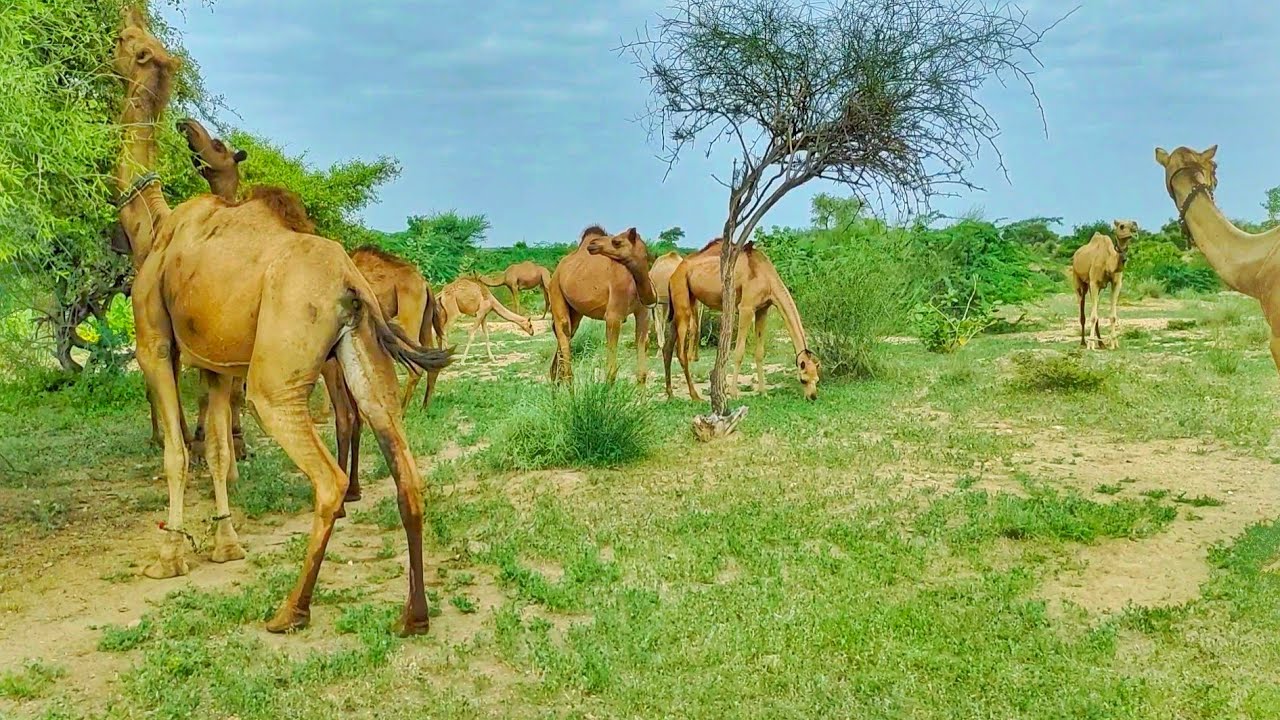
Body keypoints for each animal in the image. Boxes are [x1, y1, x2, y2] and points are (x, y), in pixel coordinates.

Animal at [114, 7, 449, 635]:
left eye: (131, 44)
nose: (188, 126)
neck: (155, 228)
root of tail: (349, 282)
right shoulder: (217, 362)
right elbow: (218, 452)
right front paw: (225, 543)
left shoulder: (155, 341)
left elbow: (177, 451)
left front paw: (169, 555)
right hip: (360, 354)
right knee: (406, 469)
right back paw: (412, 616)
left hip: (278, 378)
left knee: (328, 480)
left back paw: (290, 609)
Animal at [546, 226, 657, 384]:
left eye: (616, 242)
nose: (593, 244)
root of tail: (557, 271)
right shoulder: (613, 317)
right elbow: (611, 371)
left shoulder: (643, 314)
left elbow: (642, 372)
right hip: (555, 290)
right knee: (563, 330)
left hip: (575, 311)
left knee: (567, 335)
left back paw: (556, 385)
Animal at [663, 239, 820, 401]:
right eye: (803, 379)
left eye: (817, 379)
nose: (813, 397)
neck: (767, 277)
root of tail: (674, 273)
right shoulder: (746, 308)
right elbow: (739, 352)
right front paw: (733, 394)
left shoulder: (762, 309)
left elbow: (759, 352)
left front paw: (763, 392)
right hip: (682, 297)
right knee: (680, 352)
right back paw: (695, 396)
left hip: (685, 301)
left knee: (667, 348)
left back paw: (671, 394)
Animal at [1070, 220, 1138, 349]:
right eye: (1122, 226)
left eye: (1134, 223)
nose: (1135, 229)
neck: (1108, 261)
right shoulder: (1093, 282)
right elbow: (1093, 316)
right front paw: (1091, 344)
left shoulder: (1116, 283)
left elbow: (1112, 316)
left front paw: (1114, 343)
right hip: (1078, 279)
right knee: (1082, 305)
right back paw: (1083, 342)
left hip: (1098, 288)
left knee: (1095, 306)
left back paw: (1101, 343)